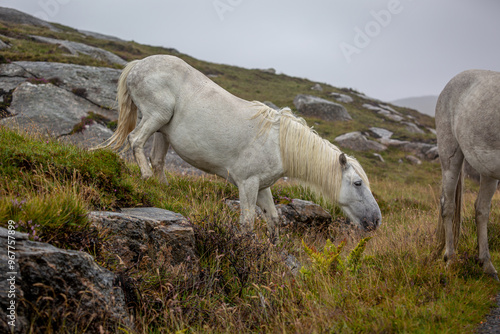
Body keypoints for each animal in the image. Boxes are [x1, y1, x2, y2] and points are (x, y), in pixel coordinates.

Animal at [101, 55, 382, 237]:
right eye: (358, 183)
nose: (376, 220)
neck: (279, 144)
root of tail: (138, 64)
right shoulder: (247, 184)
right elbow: (247, 223)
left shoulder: (262, 186)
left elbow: (273, 220)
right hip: (156, 116)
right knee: (136, 141)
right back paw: (146, 177)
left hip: (164, 131)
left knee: (158, 160)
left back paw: (162, 190)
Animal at [436, 69, 500, 278]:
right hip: (450, 155)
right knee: (448, 206)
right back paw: (450, 259)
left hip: (488, 171)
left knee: (481, 209)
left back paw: (487, 265)